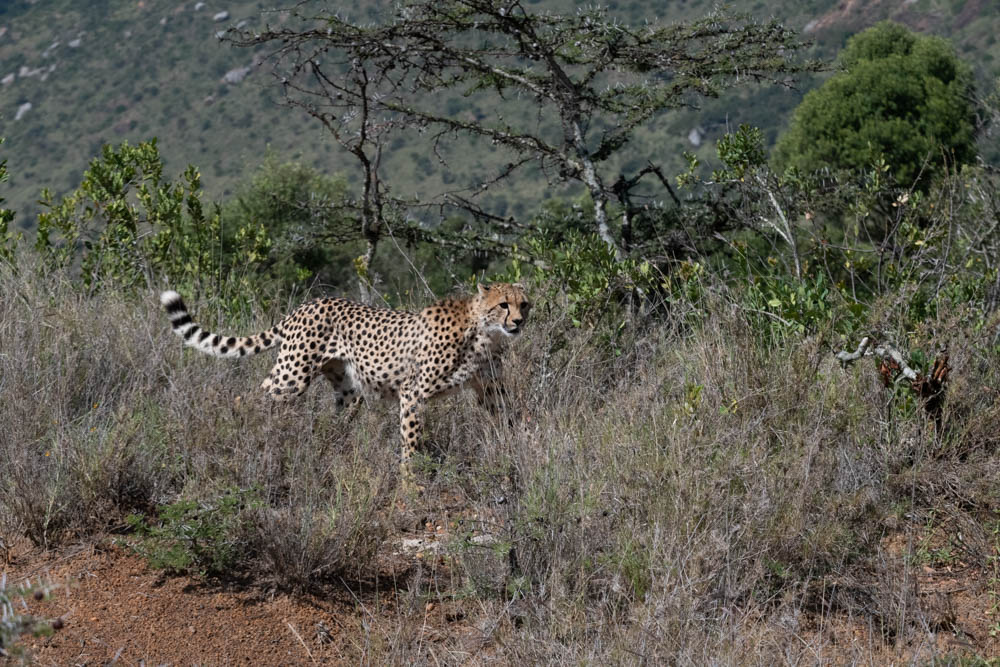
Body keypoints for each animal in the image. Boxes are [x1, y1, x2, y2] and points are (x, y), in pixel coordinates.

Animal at [159, 283, 530, 486]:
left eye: (523, 303)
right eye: (503, 304)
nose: (518, 322)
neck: (483, 332)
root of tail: (307, 304)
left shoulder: (491, 390)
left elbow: (512, 421)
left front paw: (522, 454)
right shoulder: (413, 393)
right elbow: (410, 444)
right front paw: (410, 486)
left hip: (347, 390)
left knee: (331, 421)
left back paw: (327, 450)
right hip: (293, 375)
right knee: (249, 398)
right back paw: (248, 437)